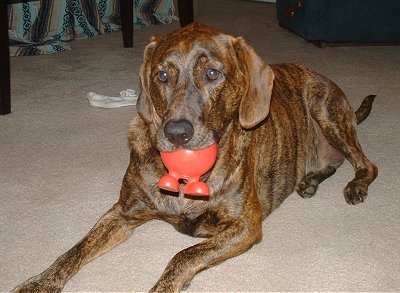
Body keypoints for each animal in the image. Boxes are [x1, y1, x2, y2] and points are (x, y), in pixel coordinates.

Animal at [11, 22, 378, 292]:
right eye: (161, 75)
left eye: (212, 74)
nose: (176, 132)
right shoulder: (123, 213)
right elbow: (74, 250)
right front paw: (39, 283)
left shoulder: (246, 226)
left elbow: (183, 256)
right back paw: (310, 181)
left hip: (326, 111)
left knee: (366, 163)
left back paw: (355, 185)